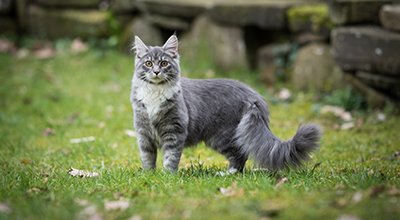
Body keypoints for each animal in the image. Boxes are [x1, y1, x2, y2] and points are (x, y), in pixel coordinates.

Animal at [131, 34, 322, 174]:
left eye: (163, 63)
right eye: (148, 63)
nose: (156, 72)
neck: (154, 92)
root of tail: (252, 95)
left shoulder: (174, 130)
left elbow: (170, 157)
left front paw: (167, 175)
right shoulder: (143, 132)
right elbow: (148, 157)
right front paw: (149, 175)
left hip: (222, 136)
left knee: (240, 156)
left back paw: (227, 173)